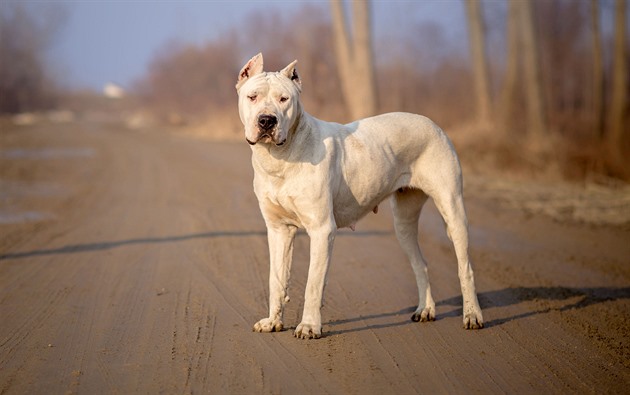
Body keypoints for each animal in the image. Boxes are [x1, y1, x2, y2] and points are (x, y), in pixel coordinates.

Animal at [239, 51, 486, 340]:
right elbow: (276, 280)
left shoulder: (322, 230)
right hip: (403, 224)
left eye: (283, 99)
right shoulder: (279, 230)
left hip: (453, 210)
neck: (280, 157)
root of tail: (433, 123)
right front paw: (273, 321)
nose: (267, 120)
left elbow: (313, 283)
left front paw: (309, 326)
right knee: (420, 263)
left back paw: (472, 315)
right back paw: (426, 309)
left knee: (465, 267)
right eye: (252, 97)